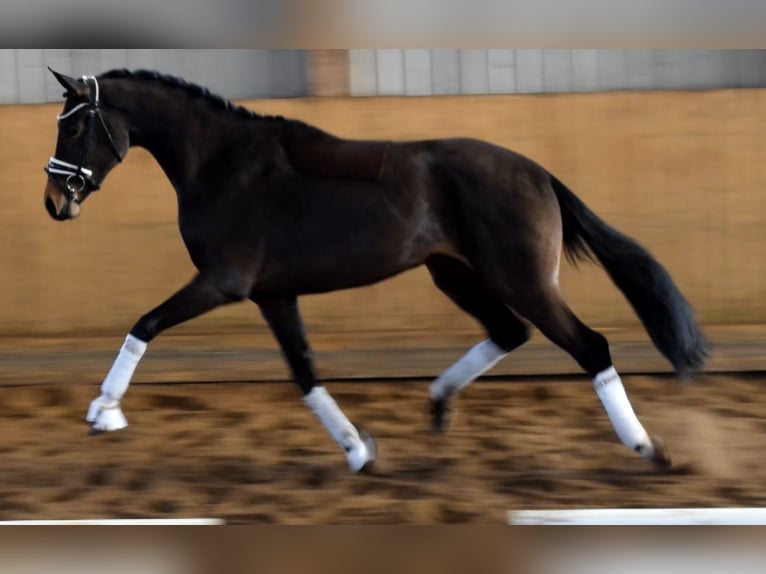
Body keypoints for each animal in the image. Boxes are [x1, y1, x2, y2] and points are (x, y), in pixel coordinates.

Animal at [45, 68, 712, 472]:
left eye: (76, 125)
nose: (55, 202)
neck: (222, 165)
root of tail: (537, 172)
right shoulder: (273, 296)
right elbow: (305, 374)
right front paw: (360, 451)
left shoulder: (222, 283)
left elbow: (145, 324)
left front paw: (104, 412)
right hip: (455, 274)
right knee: (509, 332)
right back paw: (438, 407)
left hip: (522, 279)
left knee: (589, 345)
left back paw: (647, 446)